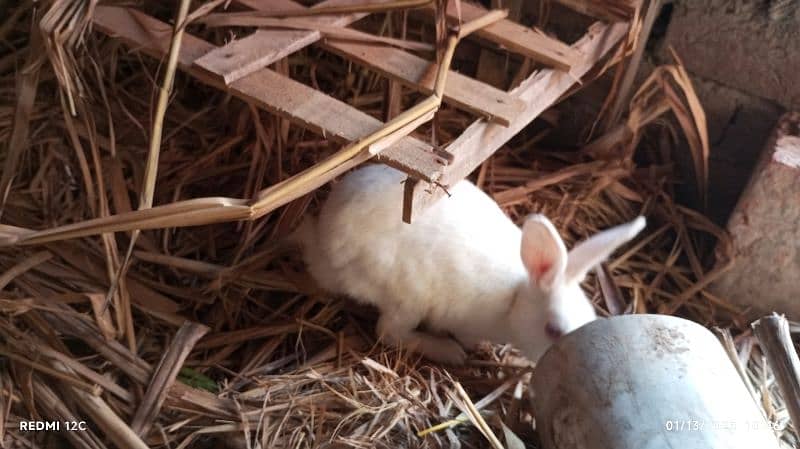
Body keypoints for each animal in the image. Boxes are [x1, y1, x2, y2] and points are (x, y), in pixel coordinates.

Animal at [296, 164, 648, 364]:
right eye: (553, 330)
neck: (514, 300)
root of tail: (326, 246)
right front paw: (469, 347)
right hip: (406, 296)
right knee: (389, 333)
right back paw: (449, 352)